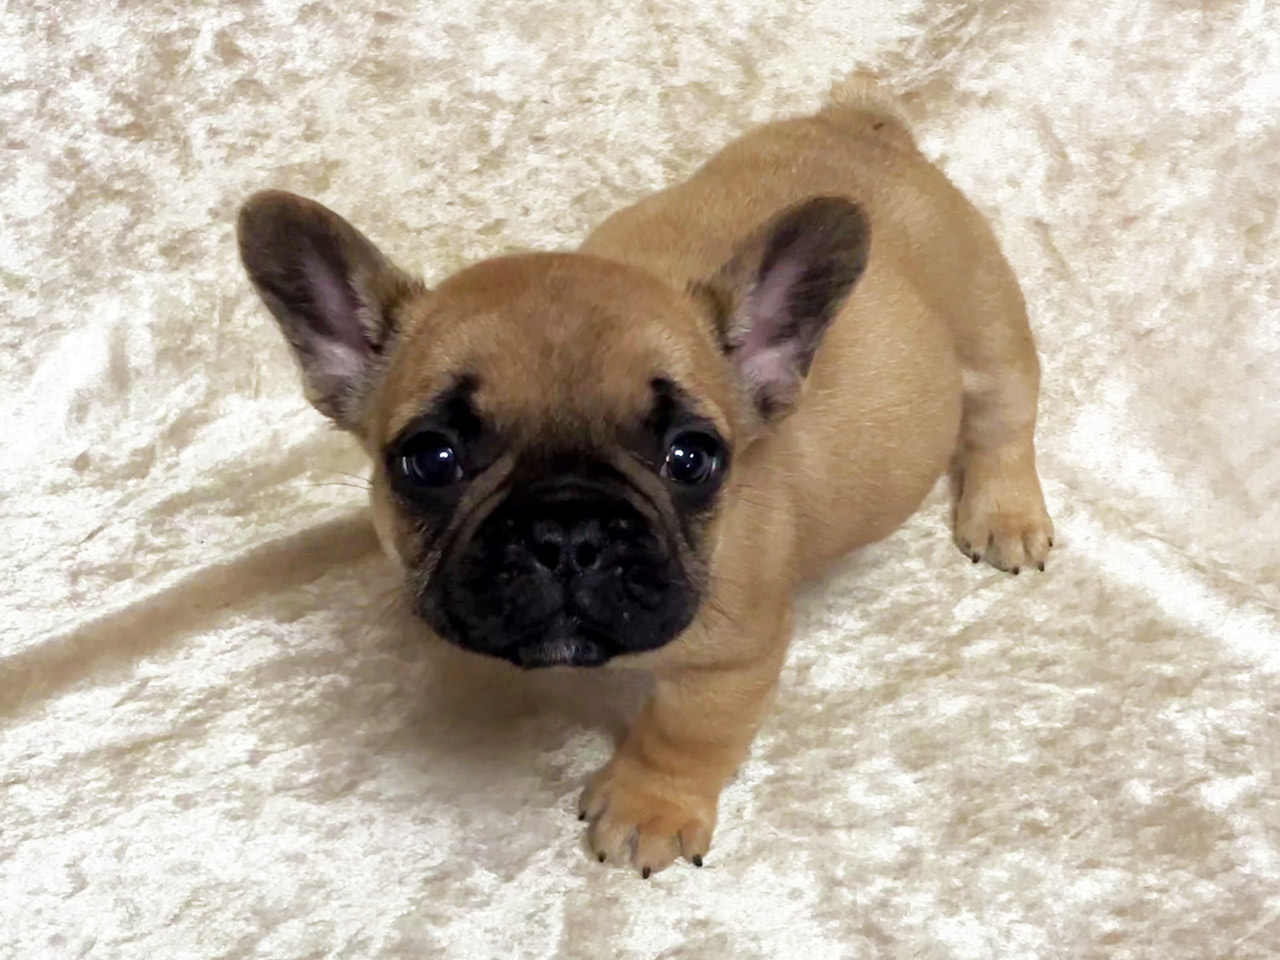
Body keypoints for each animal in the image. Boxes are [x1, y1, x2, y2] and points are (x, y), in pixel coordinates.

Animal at [236, 79, 1053, 877]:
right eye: (430, 459)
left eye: (691, 458)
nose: (568, 533)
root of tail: (864, 128)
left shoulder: (732, 654)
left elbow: (686, 731)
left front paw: (649, 808)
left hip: (986, 319)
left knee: (1005, 418)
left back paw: (1006, 515)